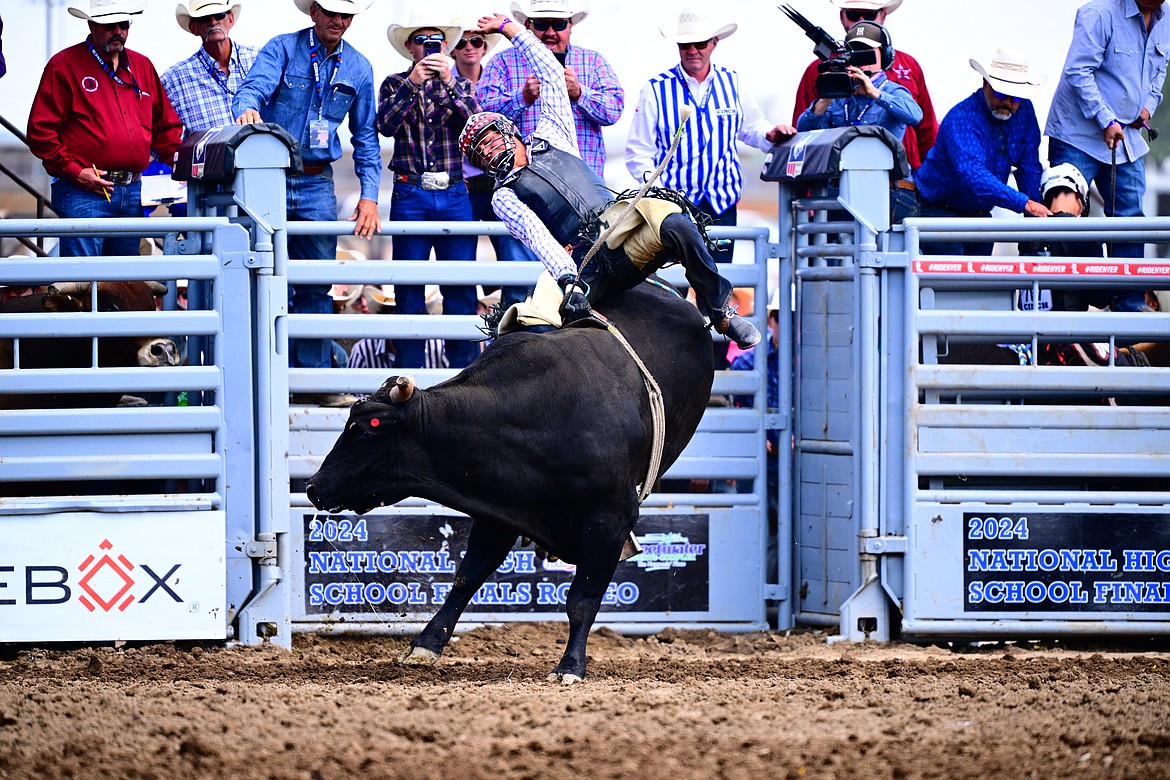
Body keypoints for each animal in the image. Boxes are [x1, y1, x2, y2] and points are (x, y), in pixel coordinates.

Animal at [304, 284, 711, 687]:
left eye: (367, 429)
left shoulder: (610, 519)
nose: (313, 487)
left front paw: (570, 666)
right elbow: (467, 576)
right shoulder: (500, 506)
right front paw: (424, 647)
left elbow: (583, 598)